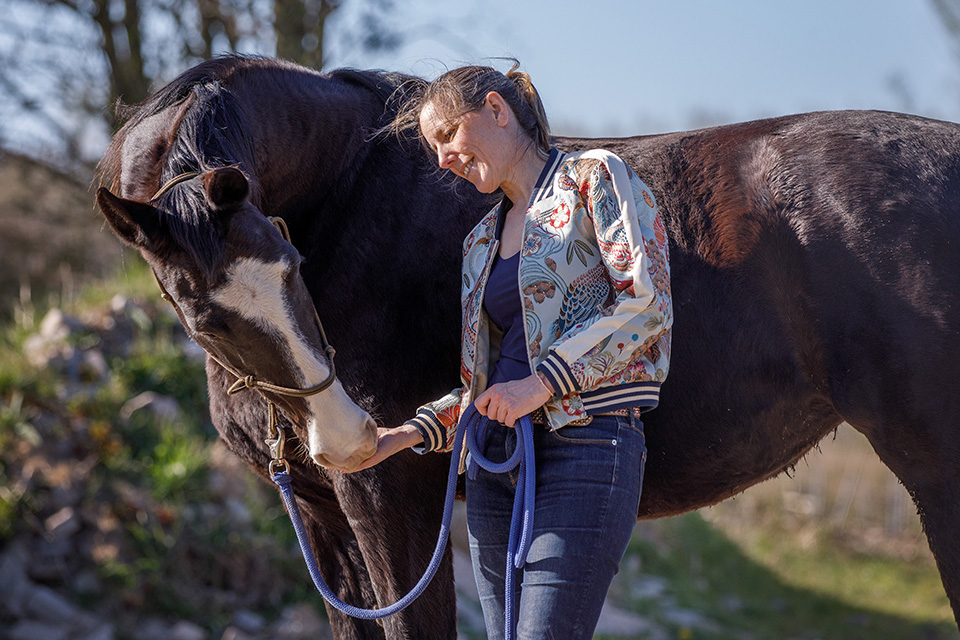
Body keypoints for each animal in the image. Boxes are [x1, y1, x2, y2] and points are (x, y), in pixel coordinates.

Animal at [95, 55, 960, 637]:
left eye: (291, 262)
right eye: (205, 316)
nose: (347, 435)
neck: (349, 191)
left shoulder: (391, 500)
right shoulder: (321, 516)